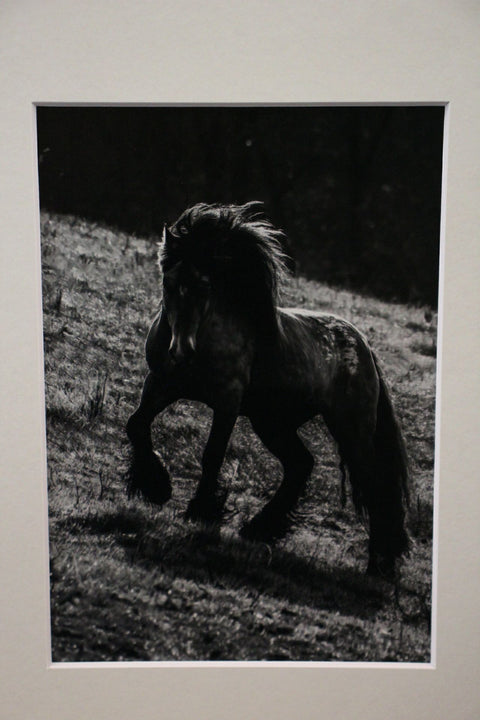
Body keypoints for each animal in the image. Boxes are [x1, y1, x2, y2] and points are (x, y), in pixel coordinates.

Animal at [126, 201, 410, 577]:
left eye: (205, 286)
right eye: (168, 282)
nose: (181, 351)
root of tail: (362, 347)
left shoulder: (227, 401)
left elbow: (212, 454)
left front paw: (199, 511)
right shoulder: (160, 384)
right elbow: (137, 425)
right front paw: (155, 486)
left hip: (350, 429)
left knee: (374, 484)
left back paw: (380, 565)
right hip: (272, 422)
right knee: (300, 465)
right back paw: (259, 528)